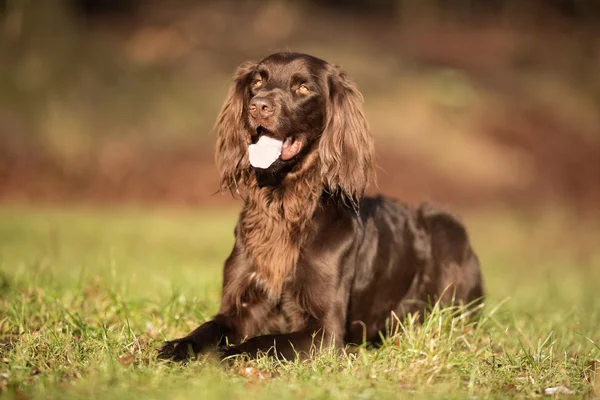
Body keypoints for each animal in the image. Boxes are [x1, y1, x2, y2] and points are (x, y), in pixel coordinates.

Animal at [157, 51, 486, 360]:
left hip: (447, 226)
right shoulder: (240, 306)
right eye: (258, 82)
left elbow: (262, 341)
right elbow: (208, 328)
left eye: (303, 87)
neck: (284, 207)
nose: (258, 106)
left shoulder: (324, 332)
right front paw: (177, 346)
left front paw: (225, 355)